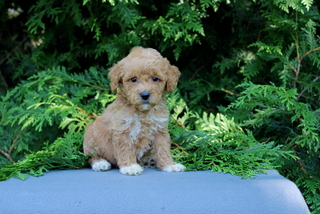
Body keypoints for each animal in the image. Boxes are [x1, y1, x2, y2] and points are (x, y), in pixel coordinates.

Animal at [84, 46, 186, 176]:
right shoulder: (121, 130)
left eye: (155, 79)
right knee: (91, 156)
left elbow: (163, 148)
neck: (143, 112)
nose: (145, 95)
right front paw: (130, 167)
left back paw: (150, 160)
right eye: (133, 79)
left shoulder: (160, 130)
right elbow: (125, 149)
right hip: (90, 137)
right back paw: (100, 163)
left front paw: (169, 165)